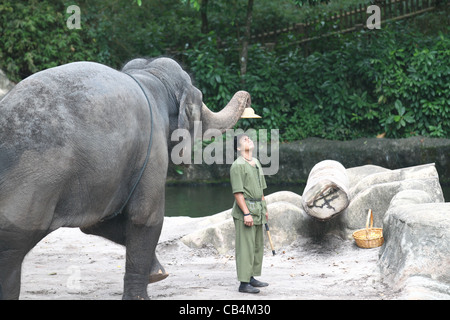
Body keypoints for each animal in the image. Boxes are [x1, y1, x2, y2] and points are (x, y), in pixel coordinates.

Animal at [0, 58, 250, 300]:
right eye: (199, 100)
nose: (247, 97)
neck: (150, 77)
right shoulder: (152, 150)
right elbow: (145, 217)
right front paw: (145, 290)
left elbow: (97, 224)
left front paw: (158, 273)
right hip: (28, 193)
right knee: (11, 253)